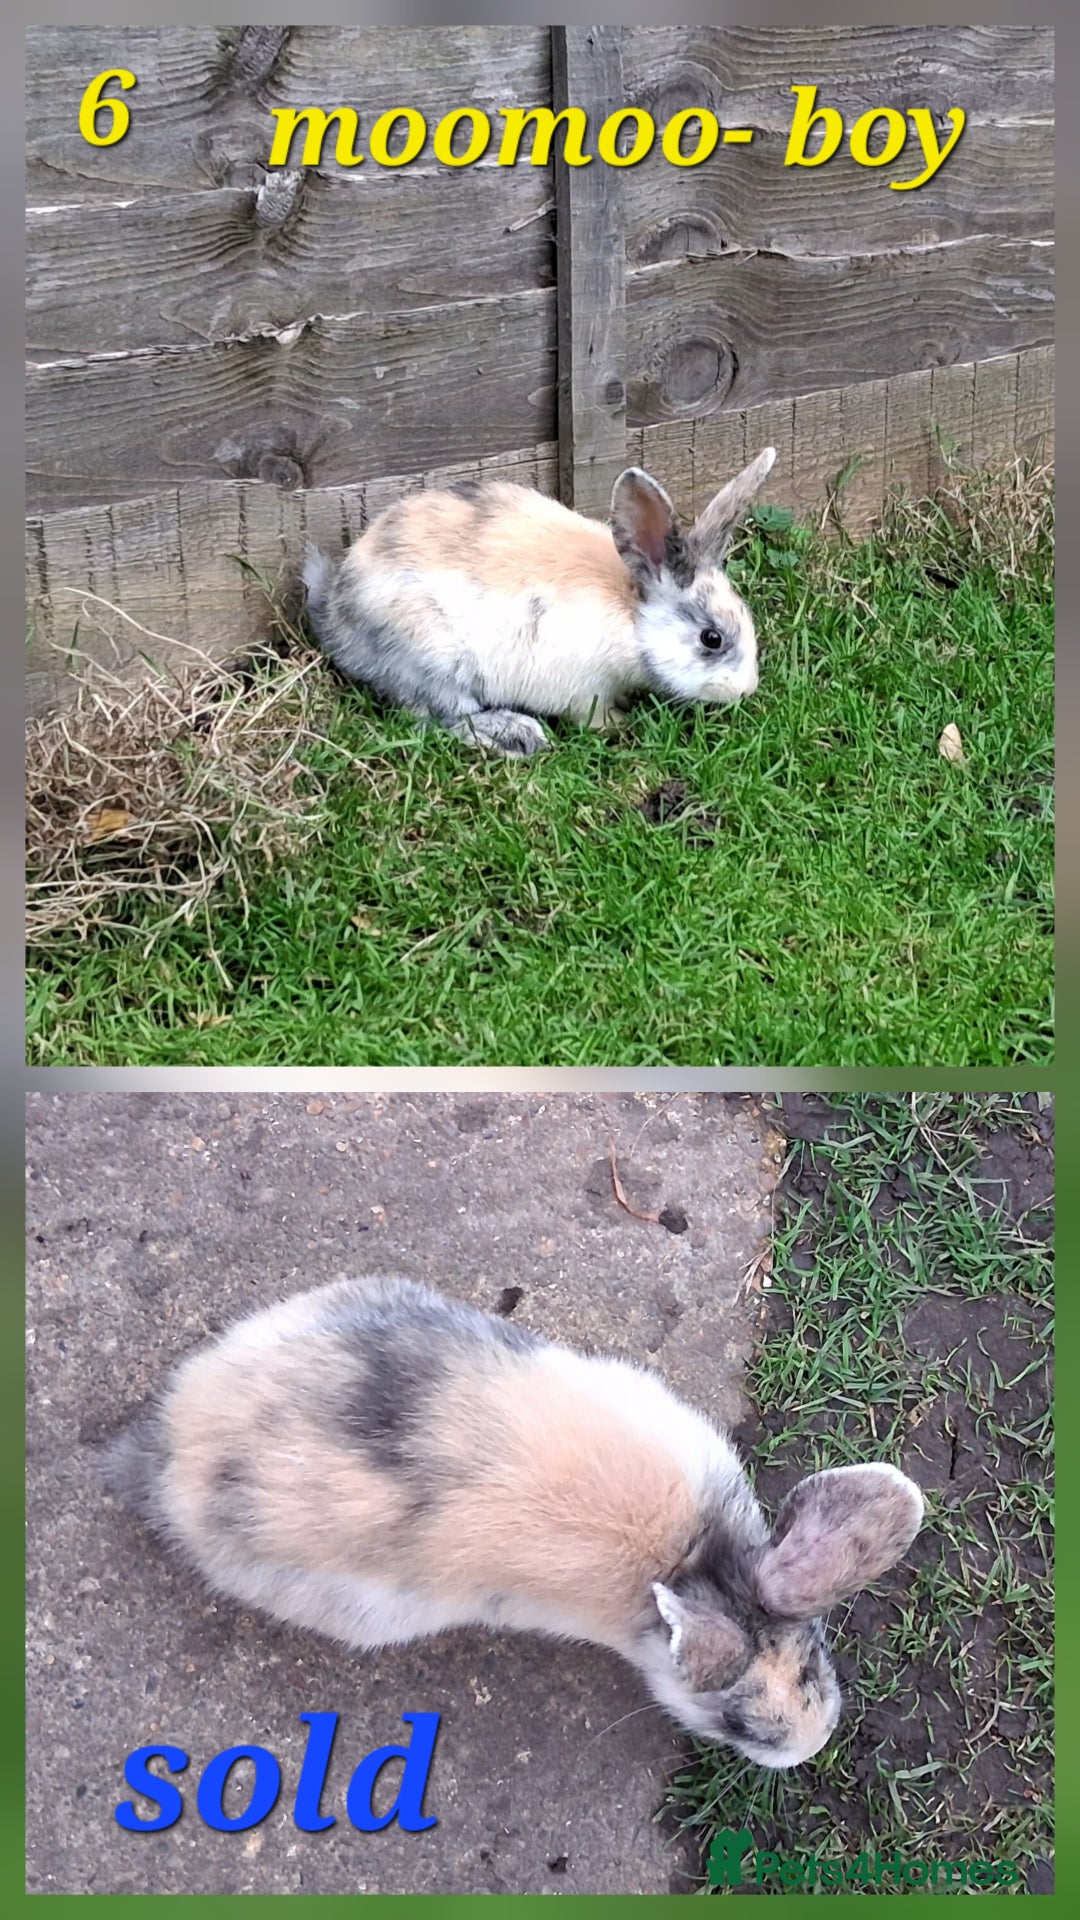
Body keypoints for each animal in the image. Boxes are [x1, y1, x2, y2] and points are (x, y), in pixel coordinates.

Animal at [301, 450, 777, 757]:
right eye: (711, 639)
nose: (746, 689)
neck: (632, 617)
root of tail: (338, 615)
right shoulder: (585, 691)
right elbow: (593, 716)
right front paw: (620, 726)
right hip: (432, 662)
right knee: (441, 719)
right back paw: (519, 737)